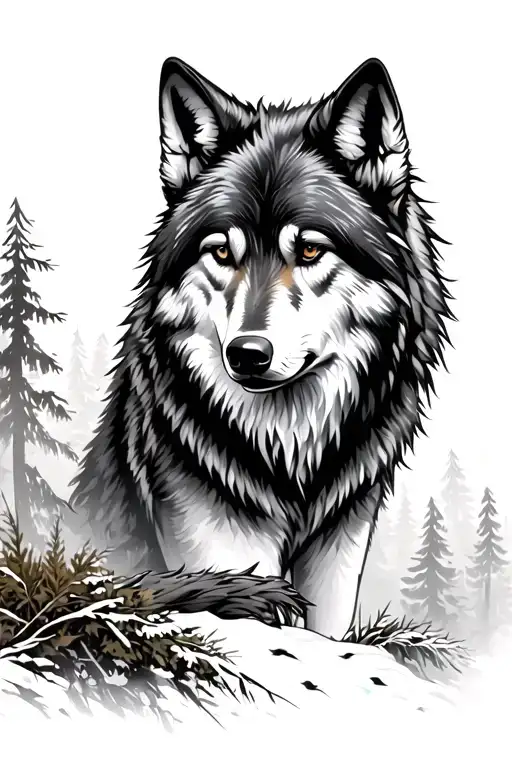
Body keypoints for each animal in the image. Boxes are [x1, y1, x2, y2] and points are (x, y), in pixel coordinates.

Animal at [68, 56, 452, 640]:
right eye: (223, 252)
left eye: (311, 250)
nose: (247, 354)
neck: (289, 455)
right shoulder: (218, 548)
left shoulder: (341, 547)